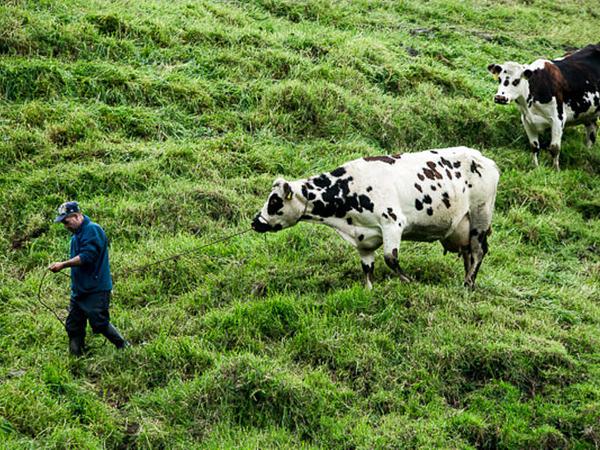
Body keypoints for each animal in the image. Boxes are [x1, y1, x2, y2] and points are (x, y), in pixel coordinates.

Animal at [251, 146, 500, 290]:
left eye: (274, 202)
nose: (256, 222)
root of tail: (484, 159)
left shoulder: (392, 222)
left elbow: (391, 258)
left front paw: (408, 282)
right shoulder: (364, 239)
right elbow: (368, 269)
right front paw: (369, 291)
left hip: (481, 215)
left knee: (479, 250)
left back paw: (468, 283)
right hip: (463, 225)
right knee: (468, 253)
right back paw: (467, 281)